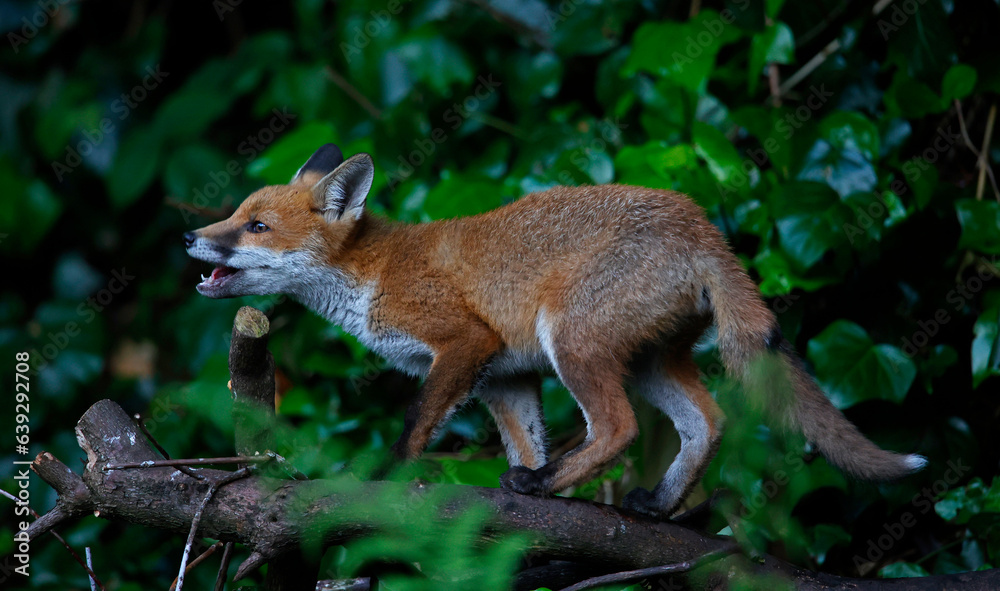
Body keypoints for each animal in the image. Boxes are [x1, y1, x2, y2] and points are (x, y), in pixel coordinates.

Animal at [184, 143, 926, 517]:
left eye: (256, 226)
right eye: (235, 214)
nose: (191, 237)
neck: (372, 272)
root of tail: (700, 223)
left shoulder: (465, 343)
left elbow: (417, 423)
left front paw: (386, 473)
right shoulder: (504, 377)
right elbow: (525, 442)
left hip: (573, 342)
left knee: (621, 428)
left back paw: (553, 487)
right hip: (649, 360)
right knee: (708, 420)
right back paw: (657, 503)